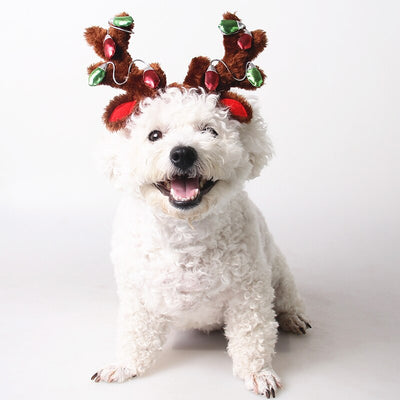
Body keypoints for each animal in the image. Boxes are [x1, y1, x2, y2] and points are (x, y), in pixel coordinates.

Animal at [91, 86, 312, 396]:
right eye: (154, 135)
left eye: (210, 130)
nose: (183, 153)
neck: (186, 233)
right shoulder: (138, 295)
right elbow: (136, 332)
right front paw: (125, 365)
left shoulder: (249, 294)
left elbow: (252, 335)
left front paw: (259, 372)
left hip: (278, 273)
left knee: (286, 298)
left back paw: (292, 316)